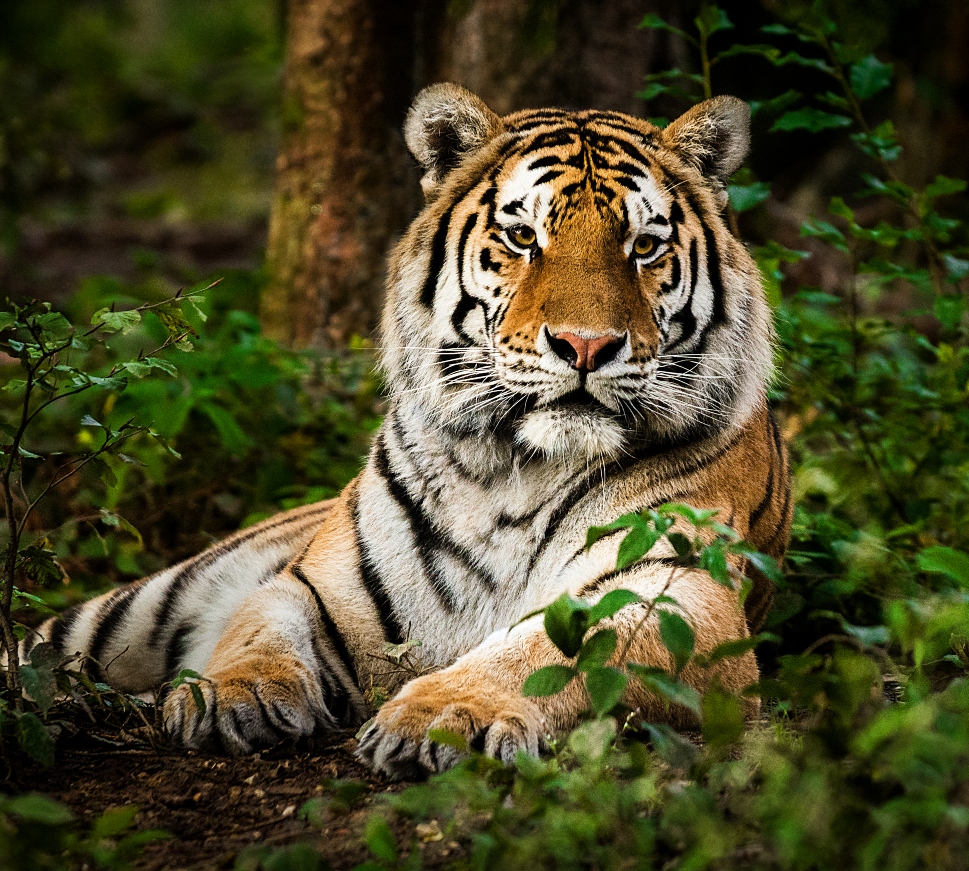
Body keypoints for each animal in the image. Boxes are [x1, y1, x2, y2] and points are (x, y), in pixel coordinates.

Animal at [21, 83, 791, 779]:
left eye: (644, 245)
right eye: (522, 236)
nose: (585, 344)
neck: (514, 469)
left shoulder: (674, 592)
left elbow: (547, 652)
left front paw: (445, 716)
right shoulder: (317, 584)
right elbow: (257, 626)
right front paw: (227, 694)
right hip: (132, 610)